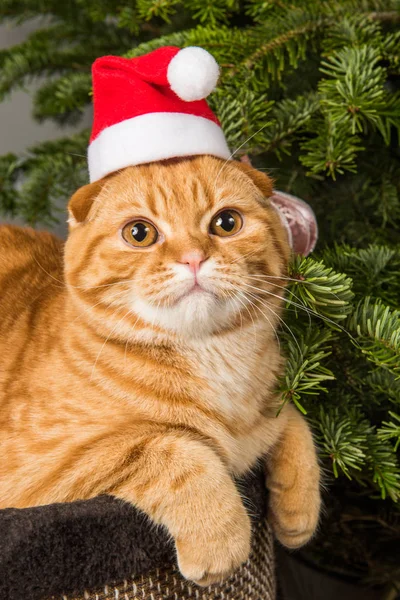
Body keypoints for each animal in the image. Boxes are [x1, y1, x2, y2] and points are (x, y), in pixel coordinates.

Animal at [0, 155, 320, 584]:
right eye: (139, 233)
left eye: (227, 223)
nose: (193, 258)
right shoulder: (38, 466)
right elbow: (171, 447)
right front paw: (219, 535)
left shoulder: (268, 405)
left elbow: (292, 417)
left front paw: (298, 506)